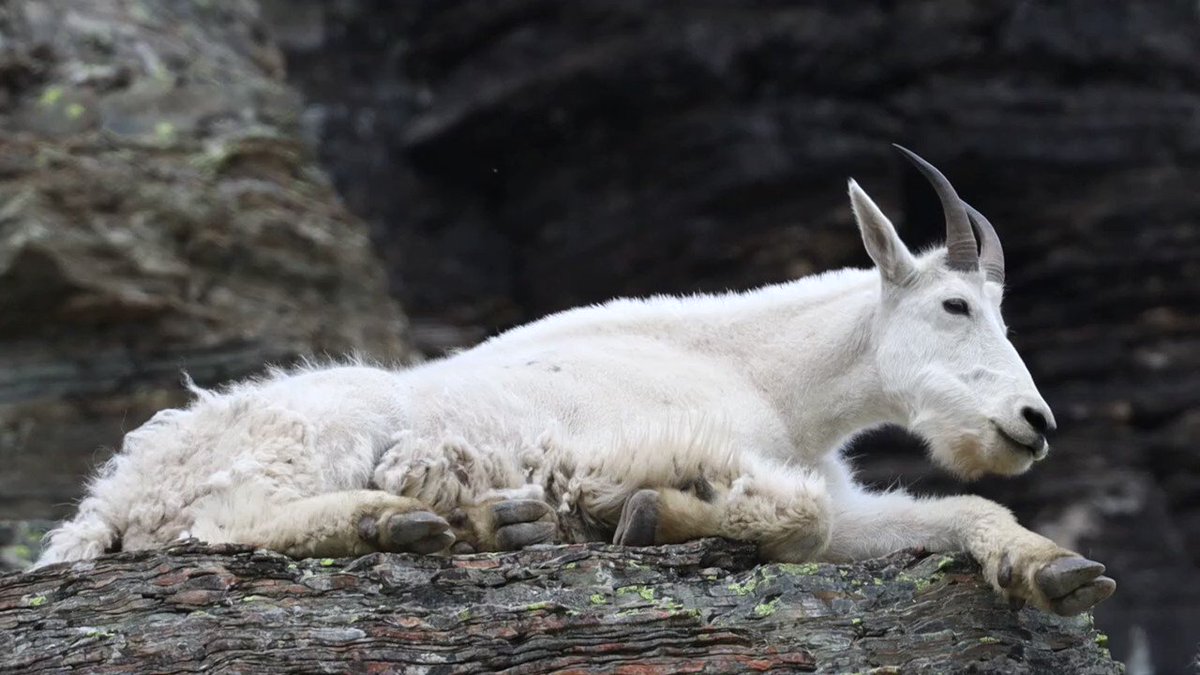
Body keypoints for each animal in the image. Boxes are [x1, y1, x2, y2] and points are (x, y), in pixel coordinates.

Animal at [37, 145, 1113, 614]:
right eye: (956, 305)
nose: (1034, 421)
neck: (774, 378)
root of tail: (110, 494)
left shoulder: (846, 501)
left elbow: (953, 514)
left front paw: (1051, 567)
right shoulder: (696, 449)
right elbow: (785, 515)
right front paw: (641, 509)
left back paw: (487, 519)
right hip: (324, 425)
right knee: (226, 523)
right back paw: (405, 519)